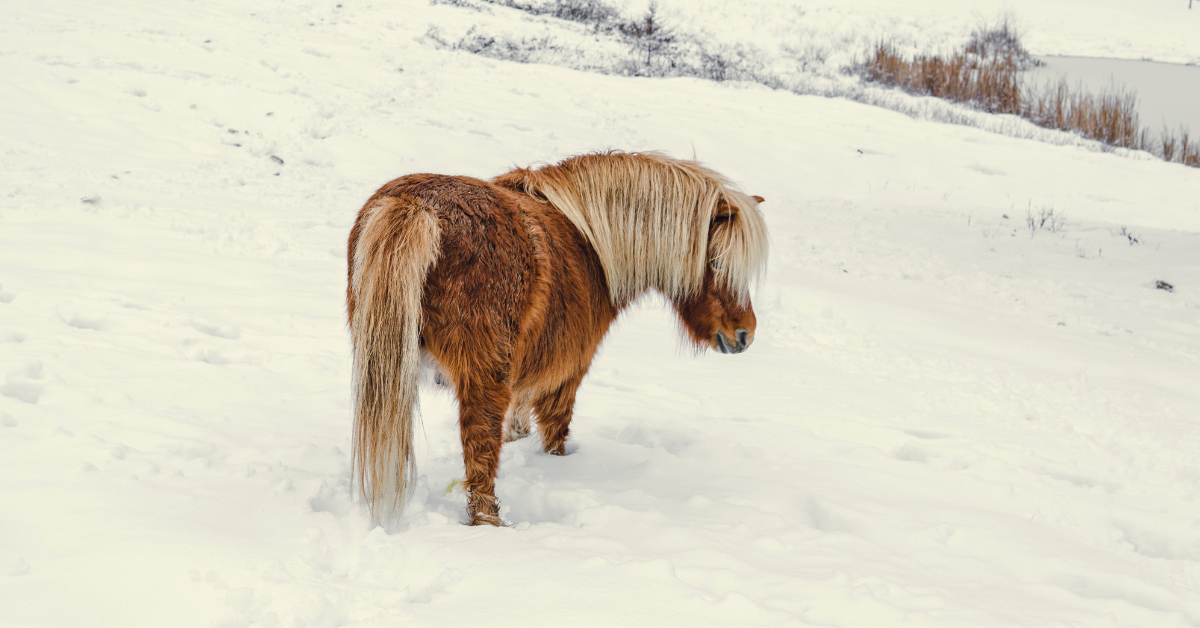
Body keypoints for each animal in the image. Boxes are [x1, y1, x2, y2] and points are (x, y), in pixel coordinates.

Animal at [347, 151, 769, 527]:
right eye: (716, 262)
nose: (744, 334)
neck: (590, 244)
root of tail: (417, 206)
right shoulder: (565, 374)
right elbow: (555, 435)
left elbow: (517, 426)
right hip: (482, 379)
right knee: (480, 453)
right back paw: (490, 522)